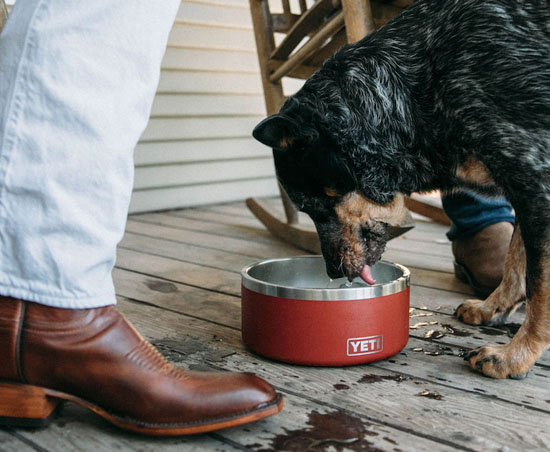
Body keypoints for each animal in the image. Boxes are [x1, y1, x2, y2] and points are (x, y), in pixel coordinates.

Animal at [254, 0, 550, 380]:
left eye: (312, 205)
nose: (332, 273)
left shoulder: (536, 185)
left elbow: (538, 286)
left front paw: (516, 356)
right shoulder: (524, 185)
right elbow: (515, 263)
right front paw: (493, 308)